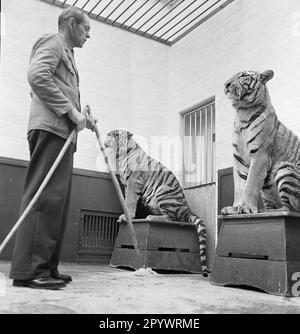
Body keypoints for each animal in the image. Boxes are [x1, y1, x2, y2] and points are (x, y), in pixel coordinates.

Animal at [104, 130, 207, 276]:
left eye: (111, 134)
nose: (105, 138)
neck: (122, 154)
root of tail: (187, 207)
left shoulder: (133, 182)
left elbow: (130, 201)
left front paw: (127, 216)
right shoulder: (127, 185)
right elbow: (126, 200)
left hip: (162, 192)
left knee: (173, 218)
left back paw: (152, 217)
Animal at [220, 70, 300, 215]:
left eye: (243, 76)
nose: (226, 84)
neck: (242, 111)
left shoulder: (260, 155)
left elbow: (250, 184)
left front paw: (246, 208)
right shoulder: (239, 158)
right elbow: (239, 186)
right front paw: (235, 208)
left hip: (284, 168)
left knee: (290, 209)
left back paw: (271, 212)